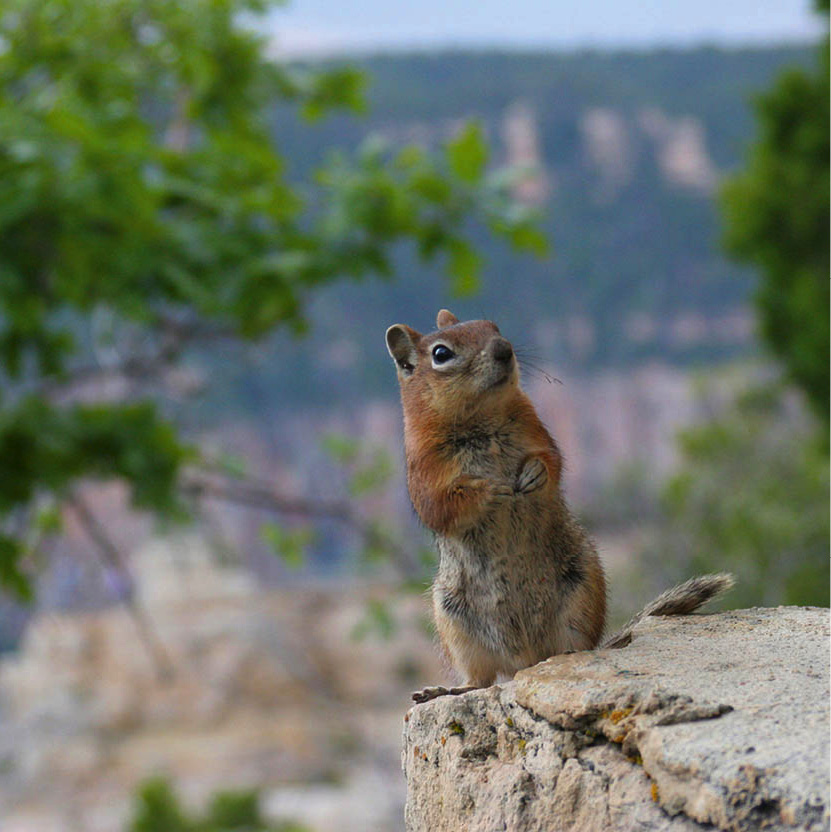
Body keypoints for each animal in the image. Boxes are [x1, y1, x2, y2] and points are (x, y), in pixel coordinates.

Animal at [386, 310, 736, 704]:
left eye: (493, 327)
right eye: (441, 354)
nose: (504, 349)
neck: (480, 421)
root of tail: (525, 659)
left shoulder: (537, 431)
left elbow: (553, 462)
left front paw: (533, 474)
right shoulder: (424, 471)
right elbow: (440, 506)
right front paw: (492, 489)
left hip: (581, 591)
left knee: (571, 648)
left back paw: (571, 655)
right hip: (454, 621)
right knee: (481, 680)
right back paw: (444, 689)